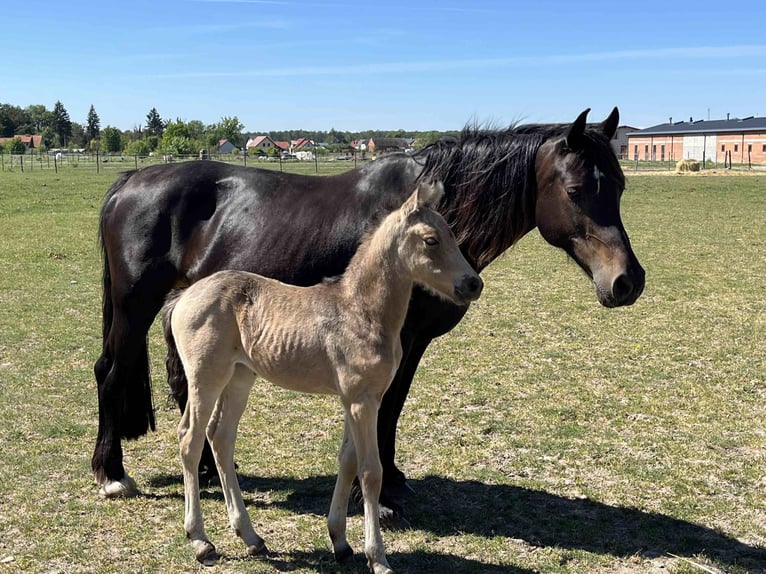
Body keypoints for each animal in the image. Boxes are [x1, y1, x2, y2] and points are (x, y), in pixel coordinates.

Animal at [96, 104, 648, 520]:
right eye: (575, 190)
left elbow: (394, 406)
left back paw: (208, 470)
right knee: (111, 372)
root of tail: (130, 180)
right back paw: (112, 473)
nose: (627, 281)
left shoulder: (410, 344)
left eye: (621, 186)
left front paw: (395, 481)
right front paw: (378, 499)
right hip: (134, 307)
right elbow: (384, 409)